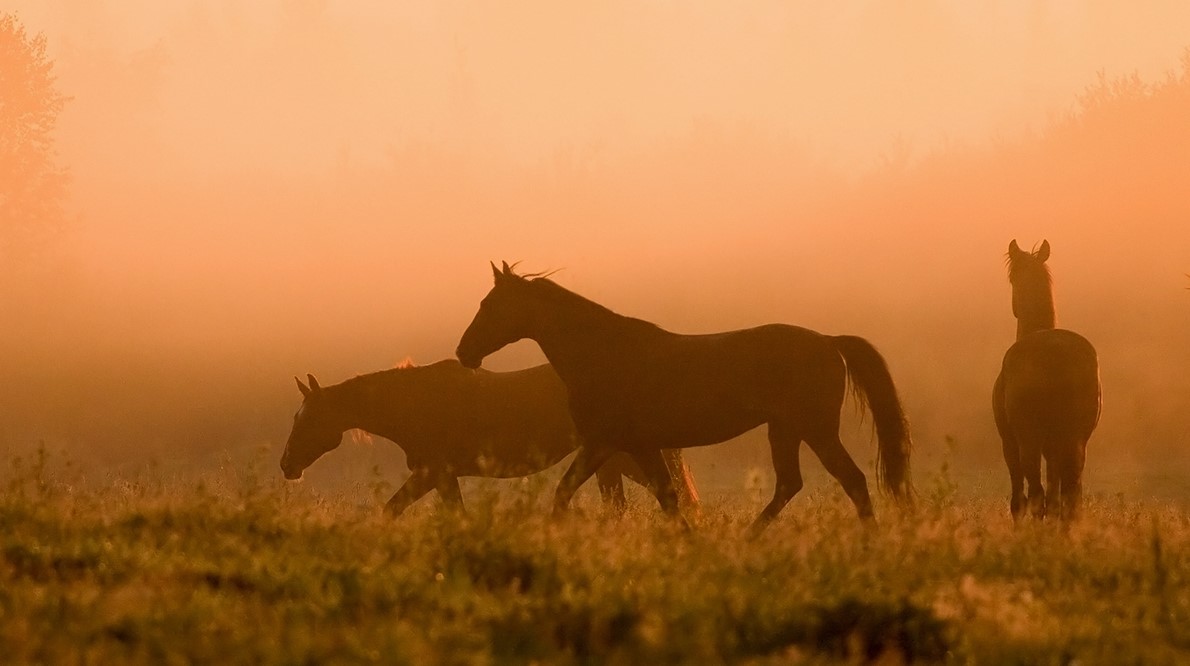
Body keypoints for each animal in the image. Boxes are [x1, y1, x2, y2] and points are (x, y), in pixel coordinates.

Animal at [280, 360, 701, 518]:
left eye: (309, 418)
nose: (286, 466)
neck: (413, 404)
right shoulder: (441, 477)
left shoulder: (434, 473)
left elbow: (394, 509)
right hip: (614, 463)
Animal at [456, 262, 914, 534]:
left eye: (491, 305)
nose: (464, 352)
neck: (603, 352)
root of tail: (829, 341)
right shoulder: (619, 446)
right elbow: (654, 497)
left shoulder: (615, 443)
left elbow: (655, 497)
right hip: (786, 430)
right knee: (792, 484)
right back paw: (749, 540)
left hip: (814, 430)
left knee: (850, 480)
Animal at [993, 240, 1101, 522]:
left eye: (1012, 278)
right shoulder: (1054, 447)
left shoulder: (1009, 442)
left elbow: (1019, 498)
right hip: (1075, 440)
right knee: (1070, 496)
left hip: (1029, 440)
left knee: (1035, 494)